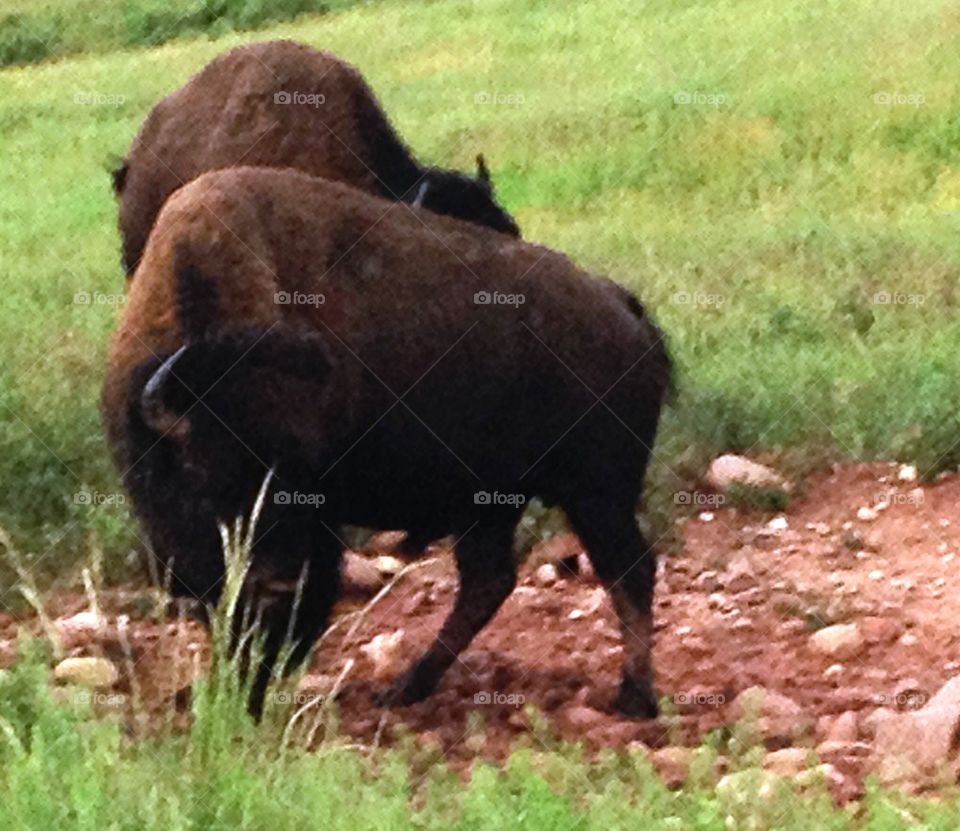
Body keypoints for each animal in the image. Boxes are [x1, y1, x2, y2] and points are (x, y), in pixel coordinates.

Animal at [102, 167, 670, 717]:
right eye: (204, 477)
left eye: (295, 473)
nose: (275, 579)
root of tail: (622, 307)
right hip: (496, 503)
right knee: (490, 583)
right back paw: (405, 688)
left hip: (595, 495)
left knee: (629, 572)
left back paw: (633, 698)